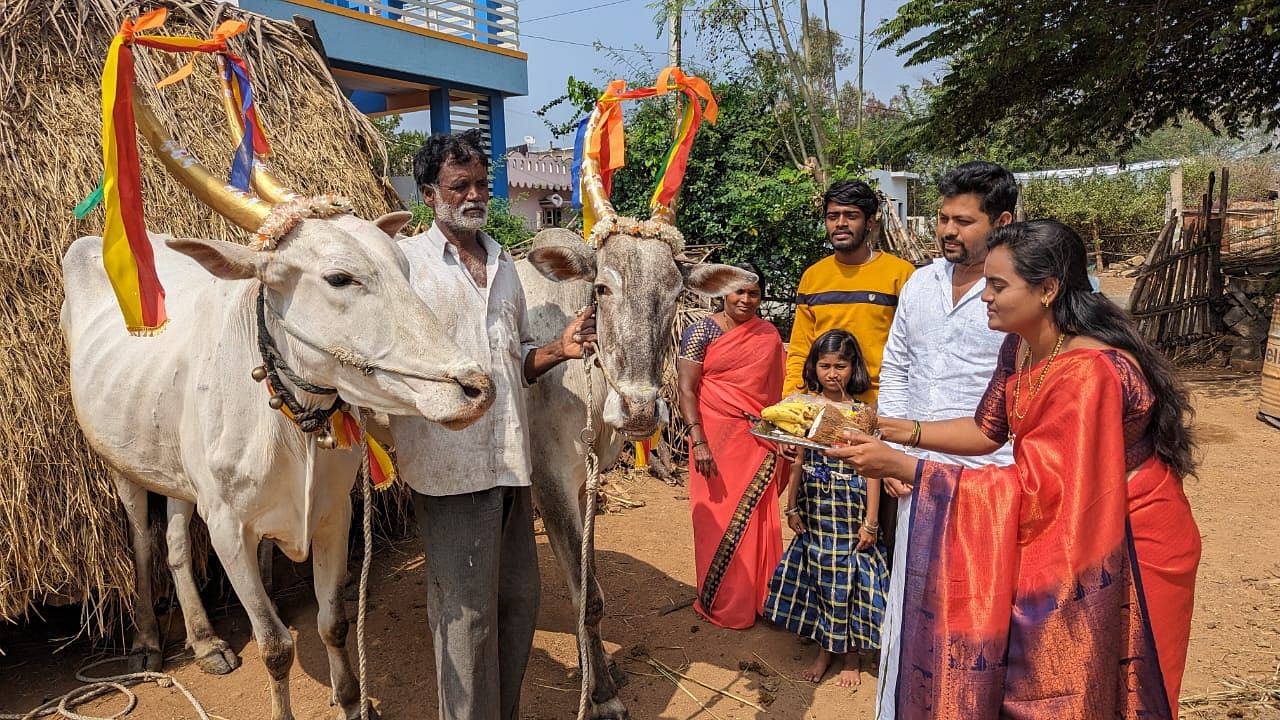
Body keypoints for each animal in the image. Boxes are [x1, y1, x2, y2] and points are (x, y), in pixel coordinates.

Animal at [63, 208, 494, 717]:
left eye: (405, 270)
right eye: (339, 278)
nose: (474, 388)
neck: (292, 427)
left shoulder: (333, 514)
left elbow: (333, 622)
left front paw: (351, 701)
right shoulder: (228, 530)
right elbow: (273, 647)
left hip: (176, 471)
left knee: (175, 541)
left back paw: (206, 641)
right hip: (120, 463)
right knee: (144, 541)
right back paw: (147, 639)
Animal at [517, 226, 752, 712]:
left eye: (676, 295)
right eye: (602, 289)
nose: (640, 409)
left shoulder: (585, 485)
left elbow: (588, 586)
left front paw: (602, 671)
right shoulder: (549, 484)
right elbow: (587, 599)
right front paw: (603, 696)